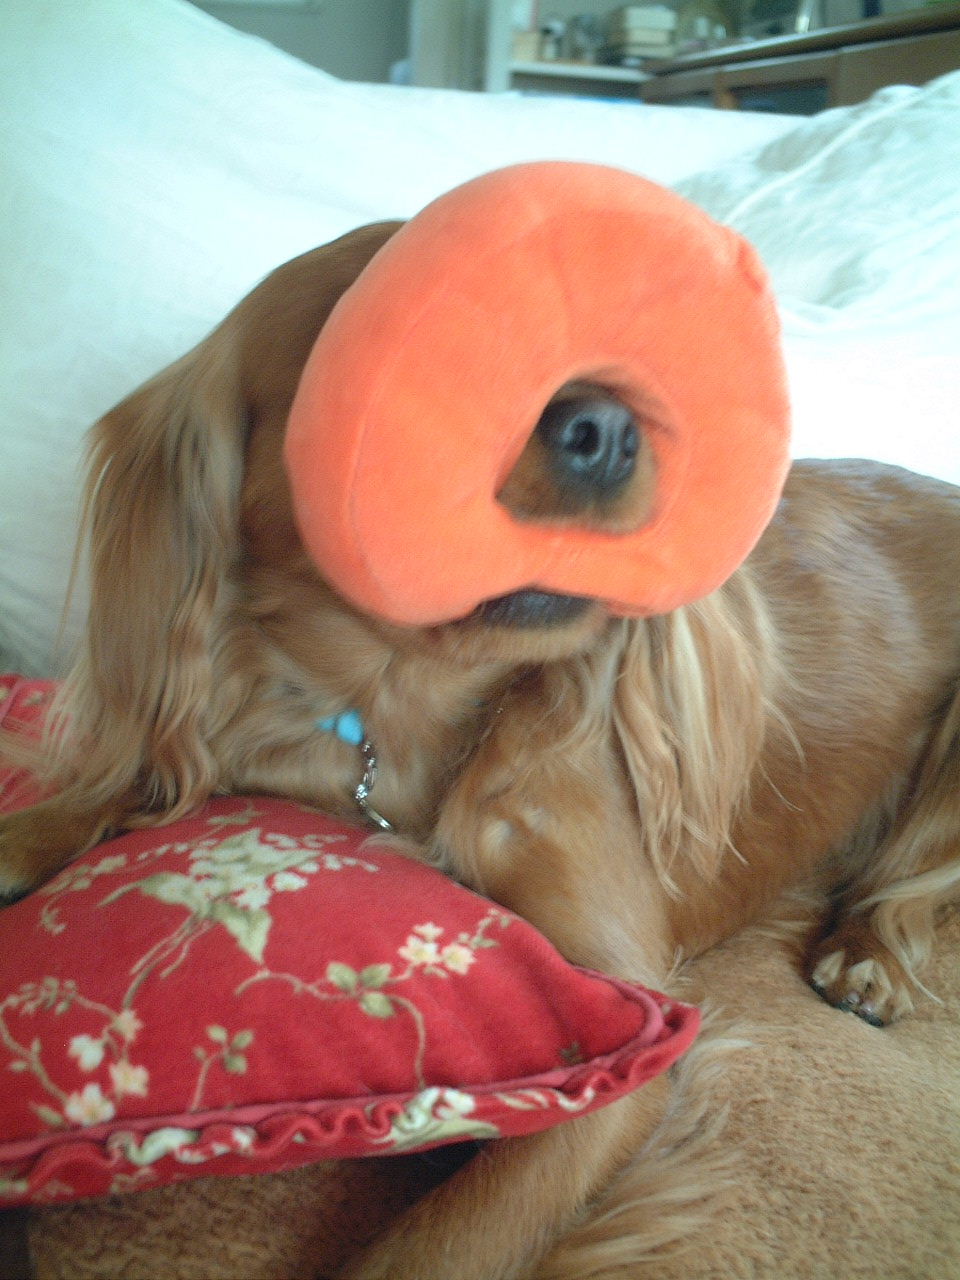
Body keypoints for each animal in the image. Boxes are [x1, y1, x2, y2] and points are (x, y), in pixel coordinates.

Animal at [2, 221, 960, 1279]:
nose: (612, 428)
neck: (411, 709)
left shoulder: (633, 1038)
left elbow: (434, 1252)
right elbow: (147, 778)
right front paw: (30, 831)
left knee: (913, 880)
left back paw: (867, 954)